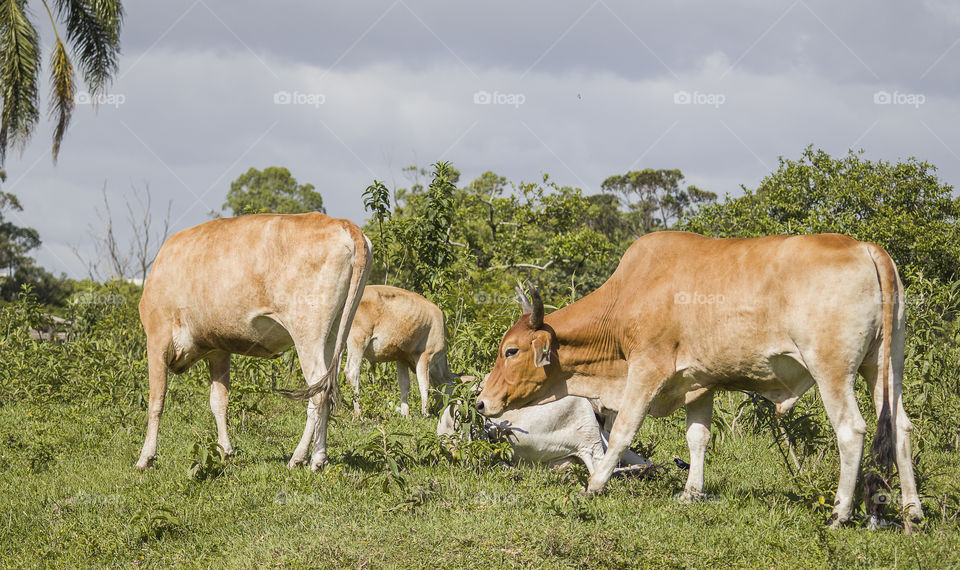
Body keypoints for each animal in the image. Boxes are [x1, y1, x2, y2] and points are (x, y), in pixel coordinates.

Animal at [135, 213, 372, 470]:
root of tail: (341, 222)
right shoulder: (218, 349)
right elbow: (219, 401)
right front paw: (225, 451)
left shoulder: (157, 338)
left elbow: (156, 400)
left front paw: (146, 457)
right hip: (335, 330)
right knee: (327, 385)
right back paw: (319, 456)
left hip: (307, 331)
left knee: (318, 392)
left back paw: (305, 458)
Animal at [346, 286, 456, 414]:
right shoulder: (425, 355)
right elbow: (424, 385)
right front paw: (425, 413)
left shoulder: (402, 358)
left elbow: (404, 385)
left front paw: (405, 414)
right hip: (358, 340)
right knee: (352, 373)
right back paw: (358, 413)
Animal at [476, 231, 928, 528]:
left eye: (510, 351)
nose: (481, 402)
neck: (626, 298)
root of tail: (868, 248)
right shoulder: (699, 383)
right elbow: (698, 438)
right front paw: (691, 493)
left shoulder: (647, 368)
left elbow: (623, 431)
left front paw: (595, 485)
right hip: (884, 366)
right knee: (902, 427)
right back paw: (913, 513)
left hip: (832, 370)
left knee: (851, 430)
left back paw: (839, 513)